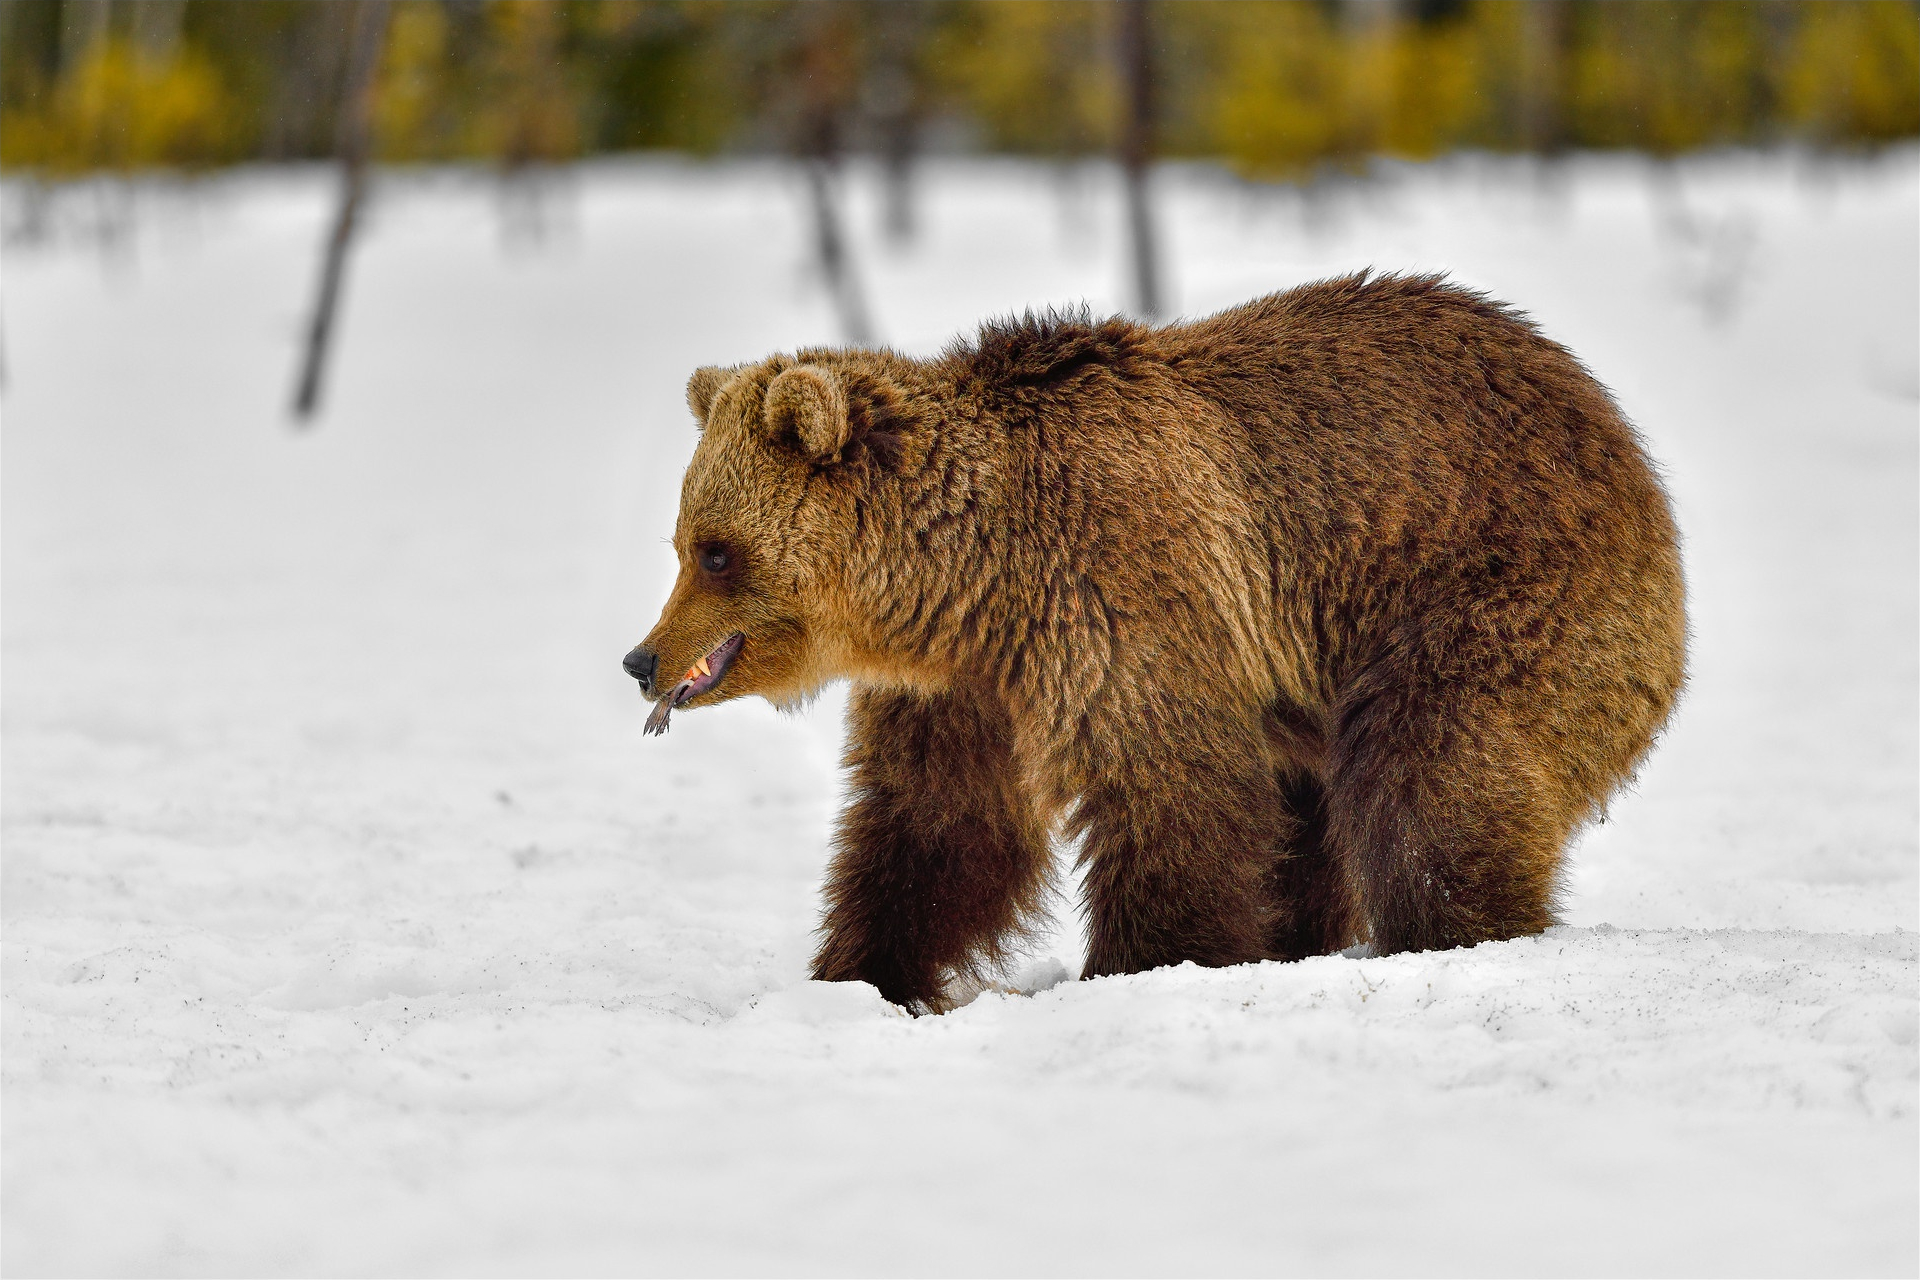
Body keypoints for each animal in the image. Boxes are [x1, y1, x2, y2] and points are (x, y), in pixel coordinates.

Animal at [625, 272, 1681, 1013]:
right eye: (680, 541)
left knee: (1431, 773)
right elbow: (938, 829)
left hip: (1494, 589)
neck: (967, 578)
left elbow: (1169, 793)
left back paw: (1453, 932)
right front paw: (862, 977)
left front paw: (1146, 964)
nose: (640, 660)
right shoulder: (967, 688)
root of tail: (1622, 435)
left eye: (716, 551)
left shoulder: (1120, 595)